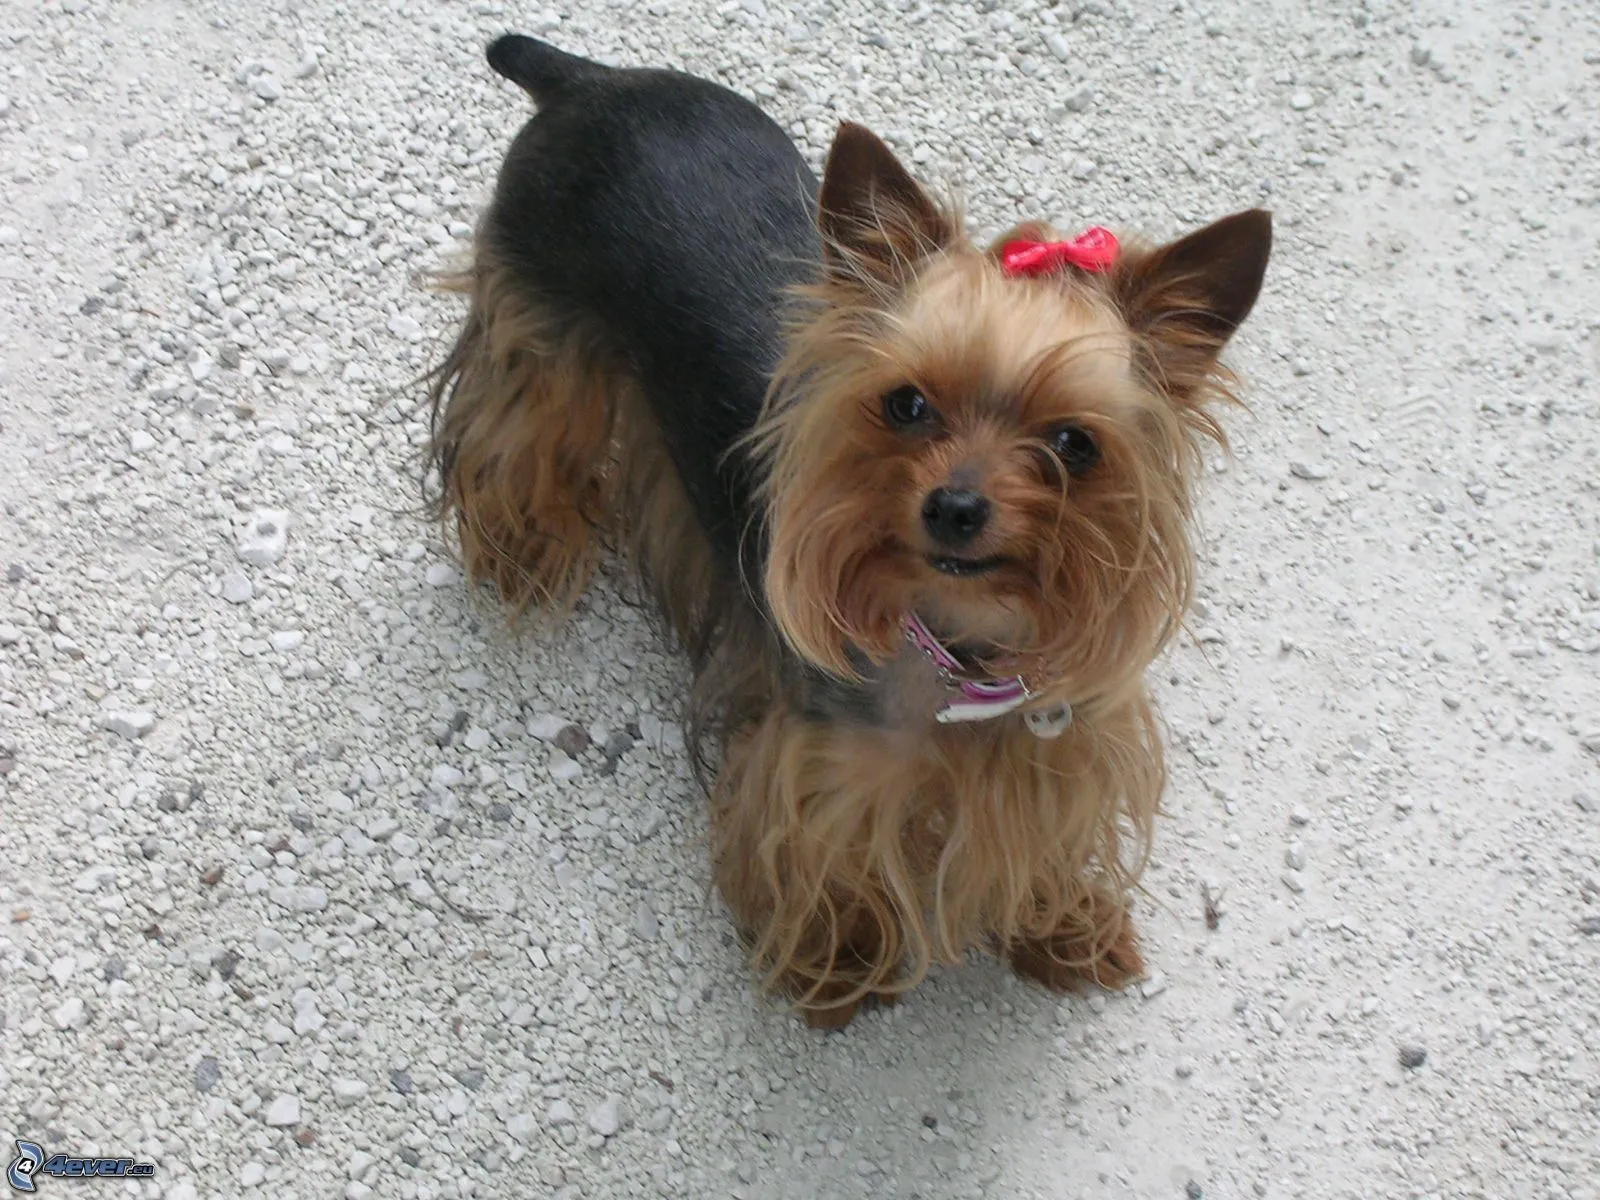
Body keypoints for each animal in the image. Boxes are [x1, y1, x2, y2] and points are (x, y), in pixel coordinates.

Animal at [428, 32, 1273, 1030]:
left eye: (1075, 443)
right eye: (905, 404)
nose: (954, 507)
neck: (957, 644)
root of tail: (587, 79)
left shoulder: (1057, 751)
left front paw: (1067, 930)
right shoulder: (826, 767)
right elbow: (822, 863)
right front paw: (834, 966)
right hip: (539, 320)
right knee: (514, 425)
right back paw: (525, 548)